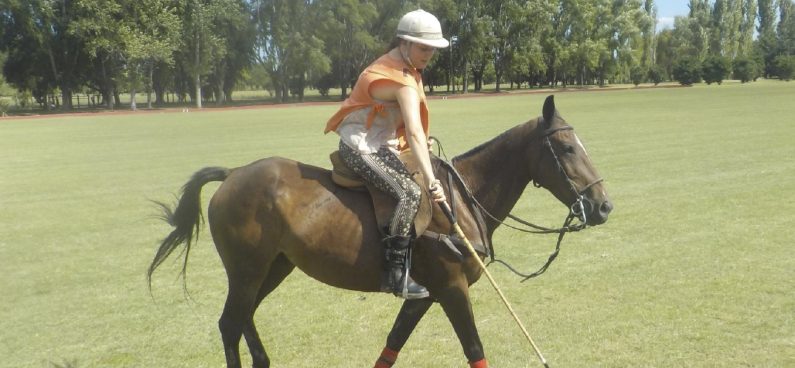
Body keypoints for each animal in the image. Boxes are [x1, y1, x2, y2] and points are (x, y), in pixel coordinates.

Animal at [148, 95, 608, 368]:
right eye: (567, 148)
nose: (603, 205)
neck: (462, 199)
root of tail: (232, 174)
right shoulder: (452, 287)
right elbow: (475, 350)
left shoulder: (425, 294)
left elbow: (392, 345)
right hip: (246, 268)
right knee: (229, 323)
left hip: (273, 267)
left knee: (244, 317)